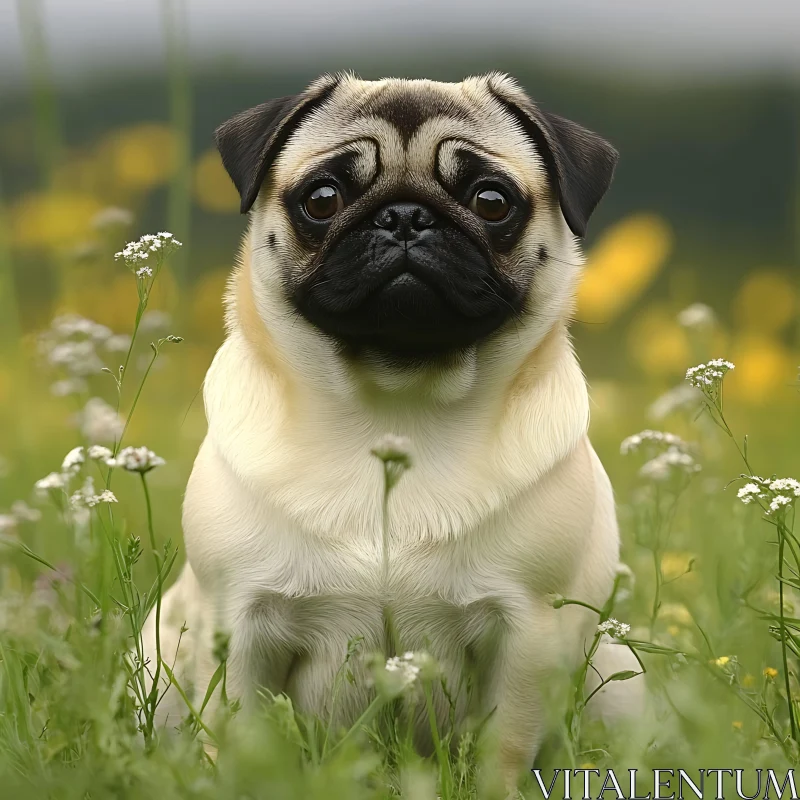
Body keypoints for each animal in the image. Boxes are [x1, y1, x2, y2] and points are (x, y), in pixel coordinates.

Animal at [142, 72, 644, 784]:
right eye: (322, 199)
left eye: (493, 202)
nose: (405, 215)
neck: (396, 407)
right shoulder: (239, 625)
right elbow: (241, 738)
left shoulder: (525, 635)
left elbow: (503, 752)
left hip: (618, 673)